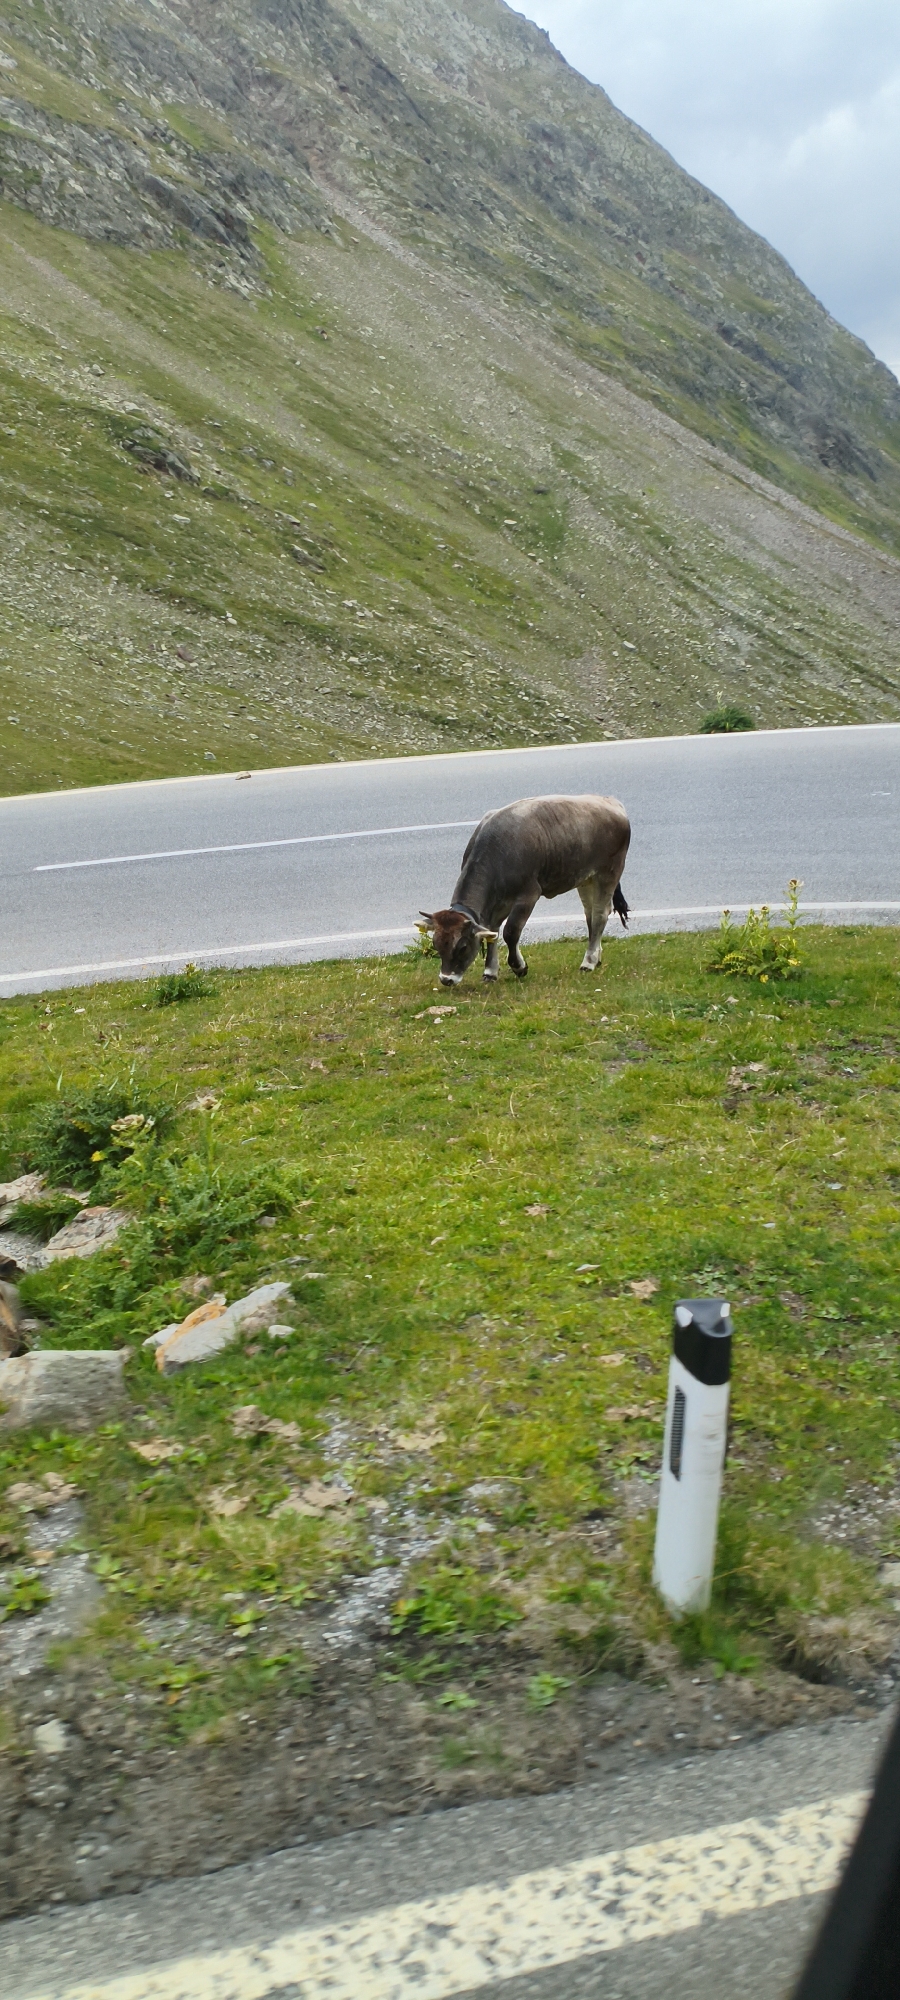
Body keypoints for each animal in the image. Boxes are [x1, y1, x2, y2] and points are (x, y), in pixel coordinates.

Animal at [417, 793, 630, 987]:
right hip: (585, 878)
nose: (446, 979)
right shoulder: (498, 902)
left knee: (600, 914)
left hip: (609, 871)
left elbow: (510, 932)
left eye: (462, 947)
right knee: (590, 914)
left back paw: (589, 962)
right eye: (436, 945)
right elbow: (492, 933)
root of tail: (610, 801)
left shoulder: (528, 895)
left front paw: (519, 967)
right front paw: (490, 972)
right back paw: (596, 957)